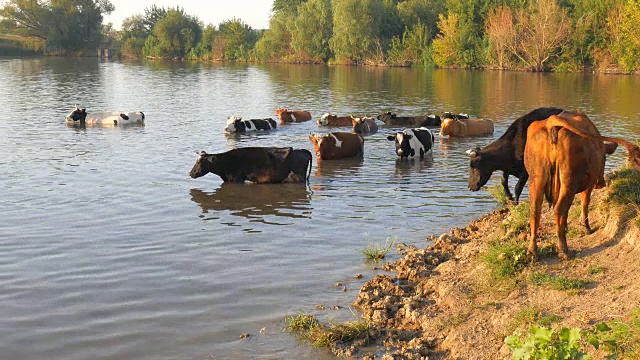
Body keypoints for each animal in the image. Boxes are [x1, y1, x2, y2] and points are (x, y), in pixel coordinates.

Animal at [524, 108, 640, 260]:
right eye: (604, 159)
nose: (600, 184)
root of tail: (550, 122)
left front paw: (567, 227)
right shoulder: (589, 183)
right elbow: (585, 203)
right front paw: (586, 228)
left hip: (536, 178)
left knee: (535, 211)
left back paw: (533, 251)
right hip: (568, 181)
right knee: (559, 209)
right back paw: (564, 250)